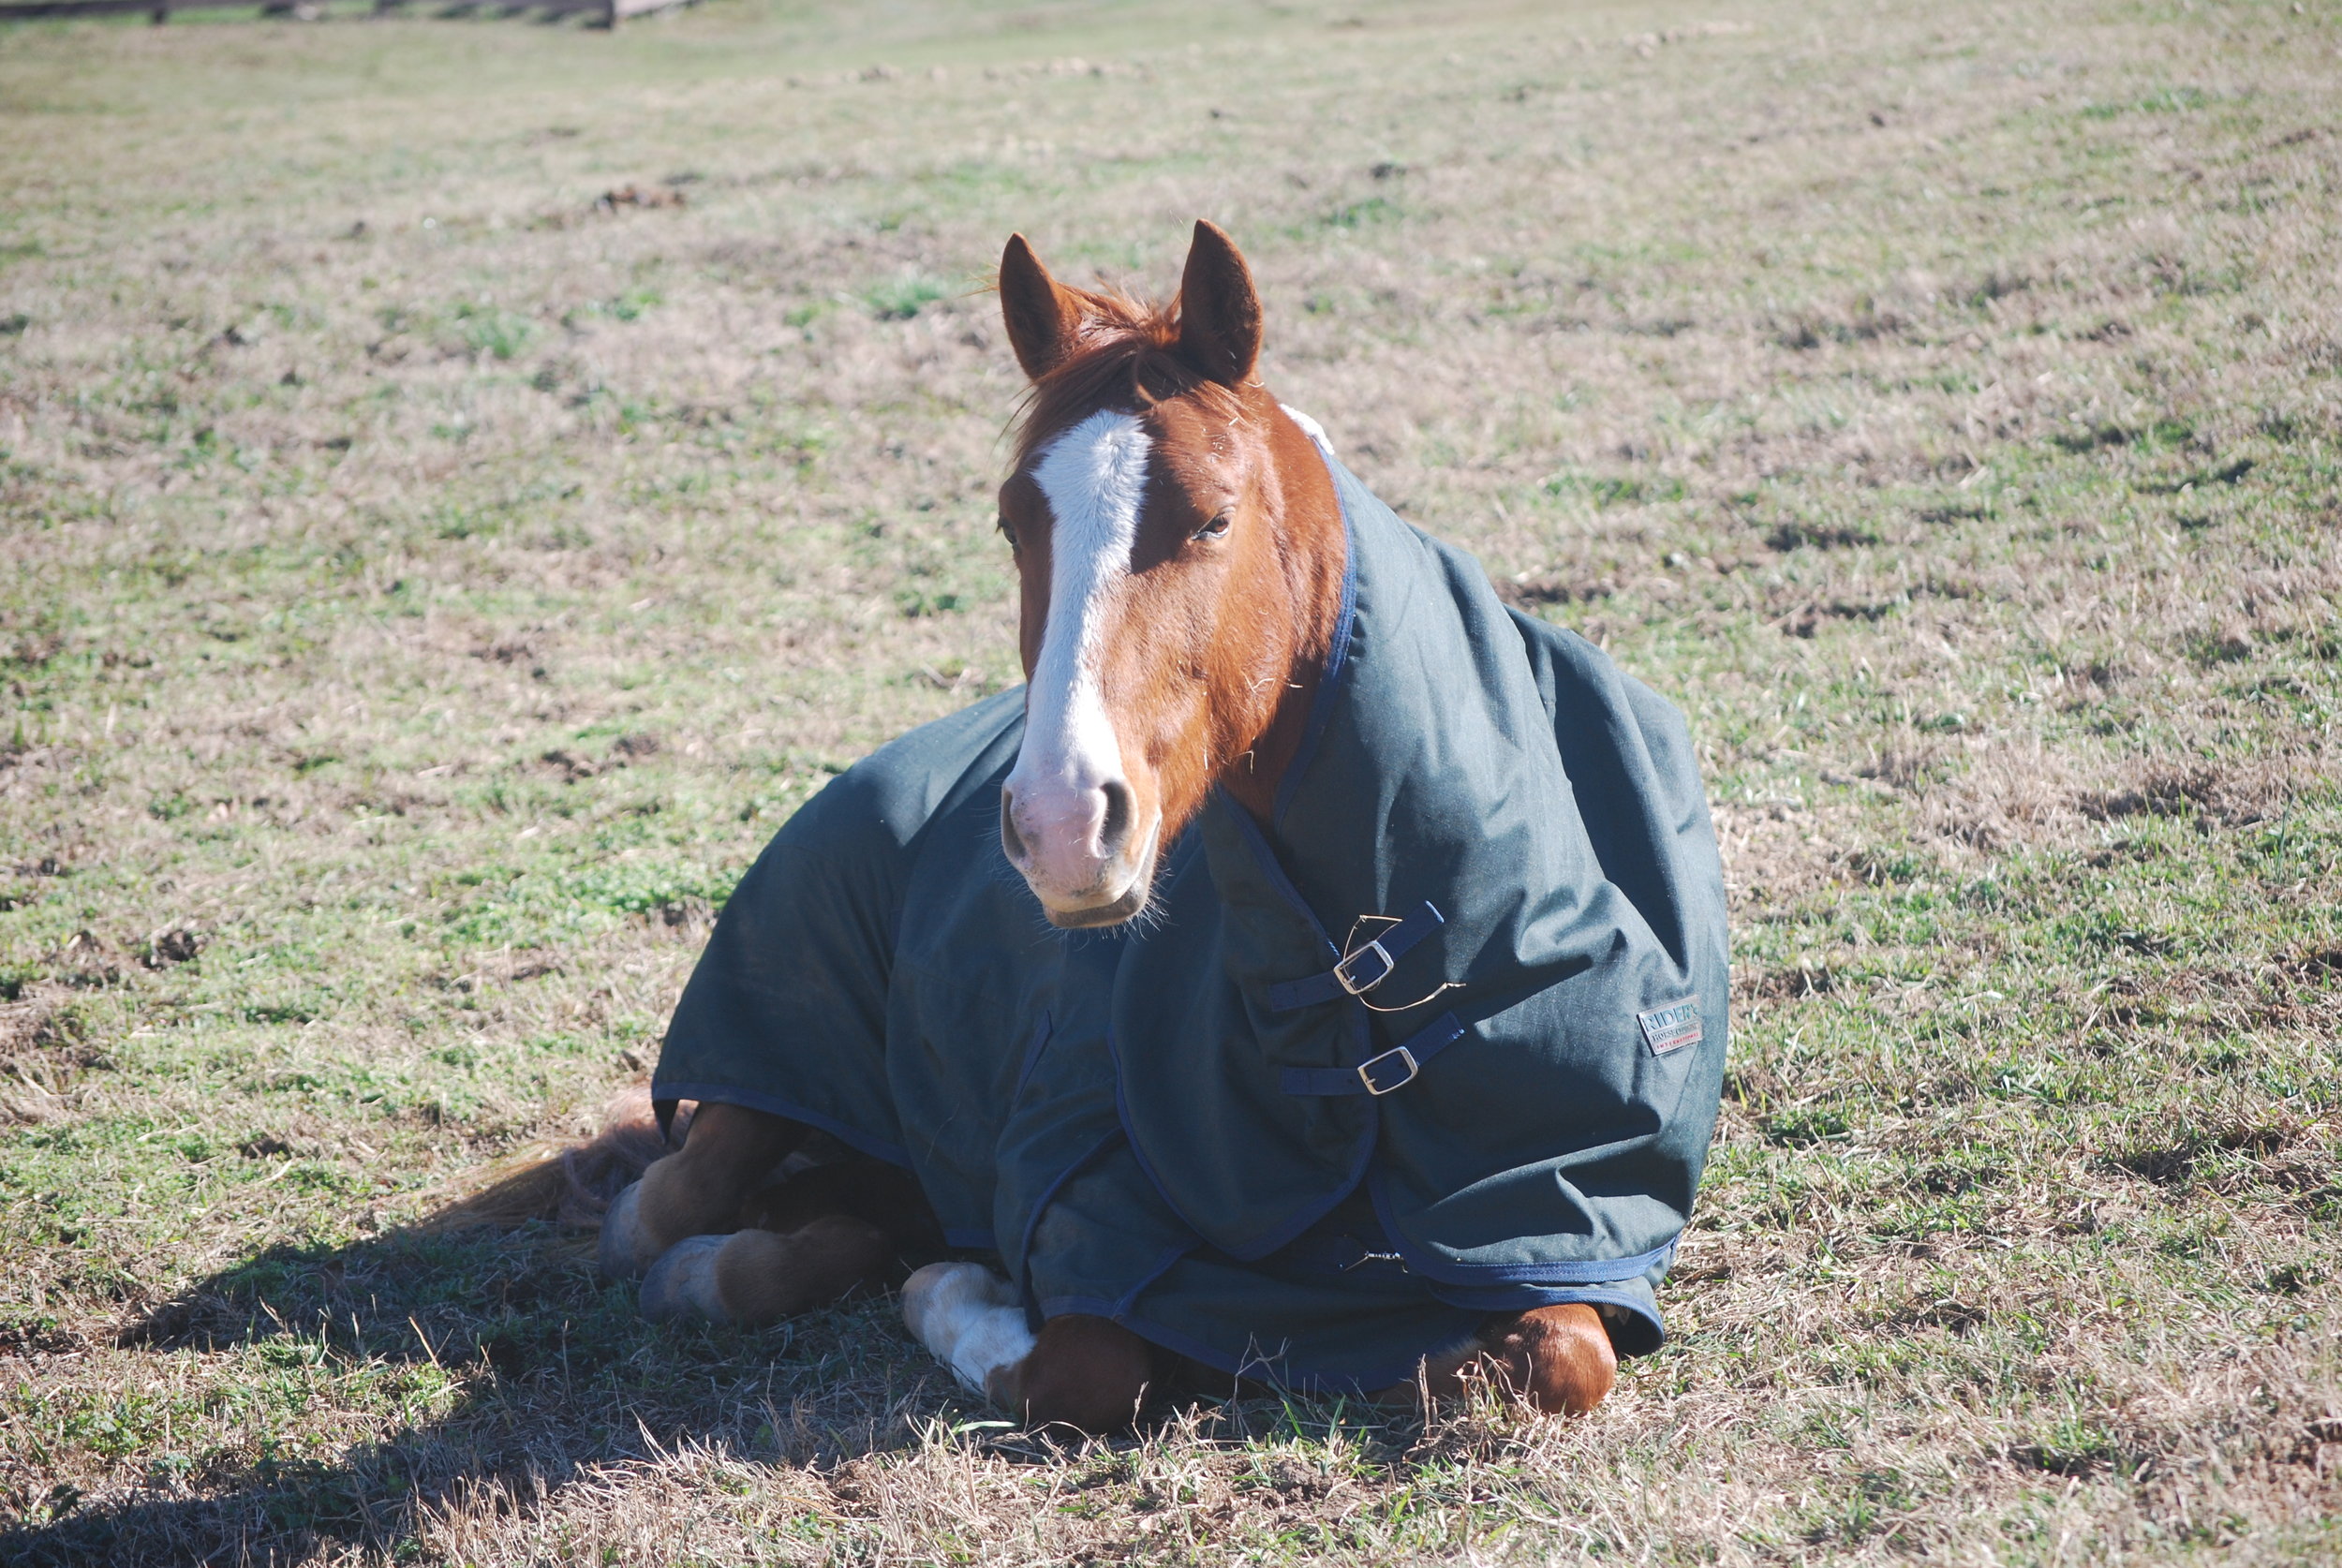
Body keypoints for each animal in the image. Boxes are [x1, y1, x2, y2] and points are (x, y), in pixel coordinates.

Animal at [586, 221, 1724, 1442]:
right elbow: (1087, 1371)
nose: (1060, 823)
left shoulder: (1546, 1221)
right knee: (670, 1205)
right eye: (1011, 521)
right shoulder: (1084, 1185)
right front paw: (958, 1292)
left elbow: (1548, 1363)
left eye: (1215, 517)